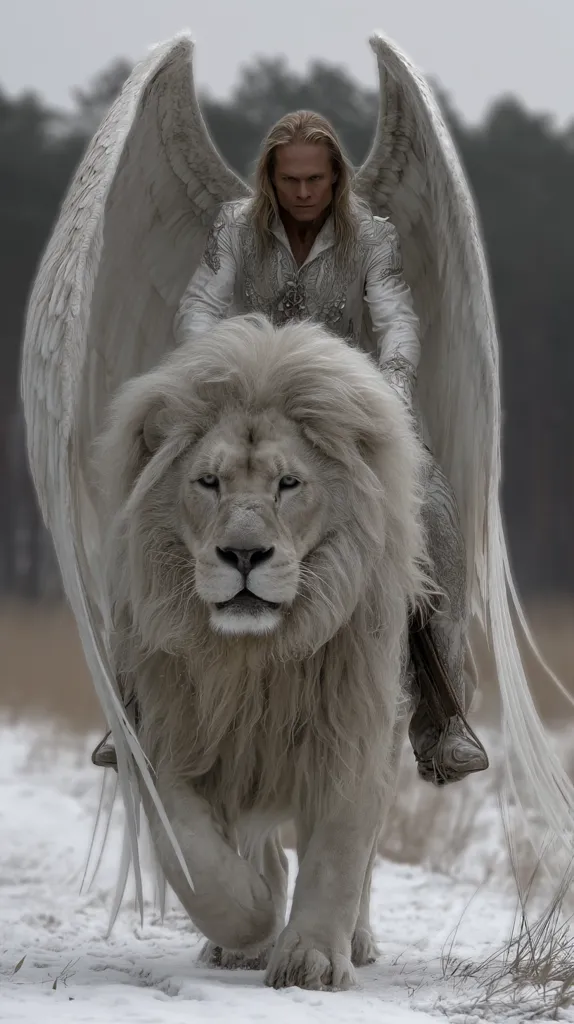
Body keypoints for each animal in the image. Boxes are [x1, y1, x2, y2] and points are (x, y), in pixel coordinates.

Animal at [95, 313, 429, 991]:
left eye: (288, 484)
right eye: (208, 482)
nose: (244, 555)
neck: (251, 664)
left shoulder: (353, 729)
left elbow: (339, 854)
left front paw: (311, 960)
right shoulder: (169, 733)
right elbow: (188, 853)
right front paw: (253, 920)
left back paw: (355, 942)